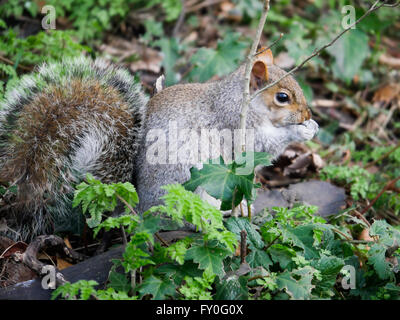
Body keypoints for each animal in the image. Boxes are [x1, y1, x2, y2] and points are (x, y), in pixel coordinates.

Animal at [0, 48, 318, 241]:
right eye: (282, 97)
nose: (307, 114)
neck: (242, 100)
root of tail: (139, 209)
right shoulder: (236, 125)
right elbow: (261, 146)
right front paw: (301, 131)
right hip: (192, 192)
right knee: (185, 222)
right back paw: (213, 220)